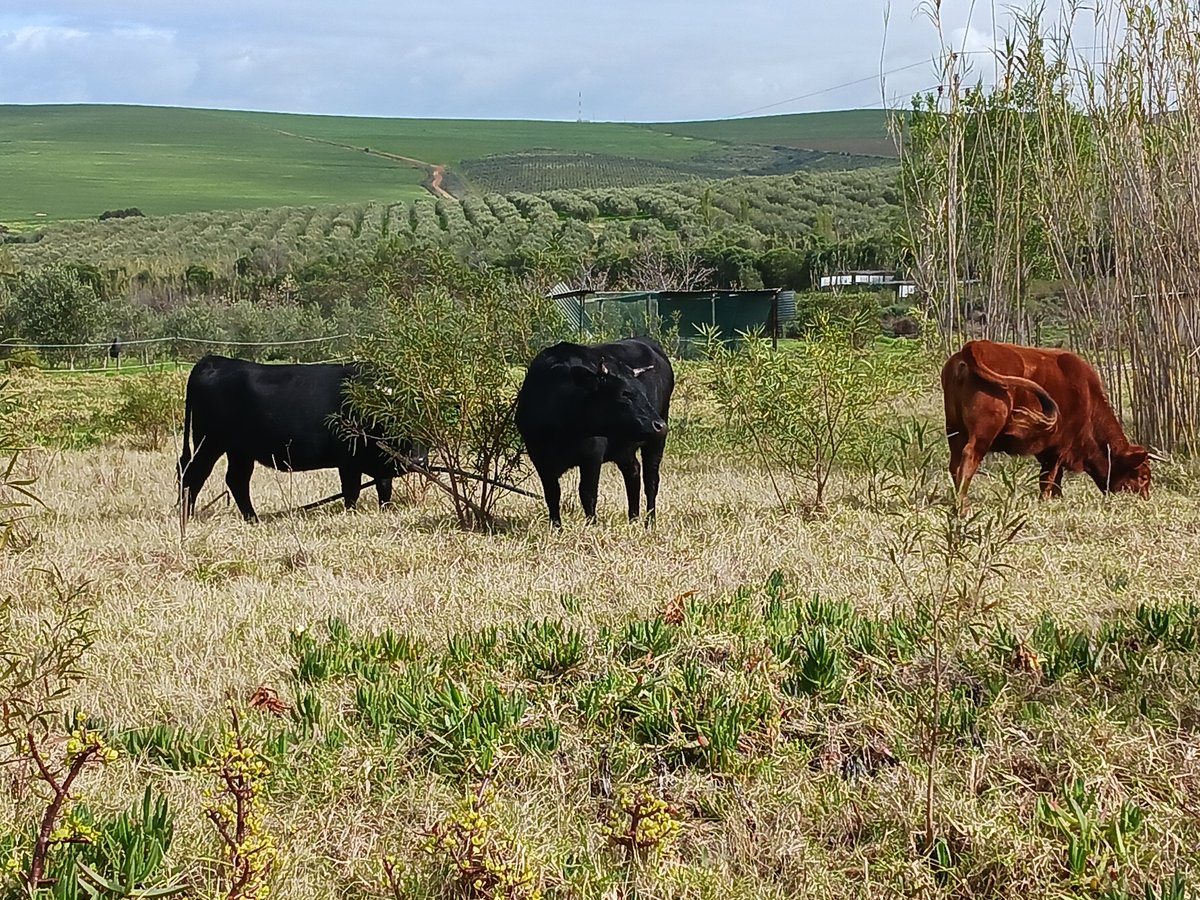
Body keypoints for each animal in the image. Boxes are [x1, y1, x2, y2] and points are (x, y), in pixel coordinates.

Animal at [178, 355, 423, 522]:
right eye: (396, 423)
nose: (418, 460)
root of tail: (214, 361)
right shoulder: (348, 460)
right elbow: (352, 490)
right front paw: (350, 513)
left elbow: (384, 488)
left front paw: (386, 510)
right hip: (208, 443)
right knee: (193, 475)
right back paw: (187, 517)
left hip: (239, 450)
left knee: (236, 480)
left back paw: (253, 519)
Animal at [515, 337, 674, 527]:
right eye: (624, 393)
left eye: (643, 392)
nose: (659, 425)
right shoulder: (539, 458)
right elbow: (552, 494)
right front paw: (556, 527)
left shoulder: (592, 456)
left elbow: (587, 493)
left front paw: (591, 525)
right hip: (624, 448)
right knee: (633, 472)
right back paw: (633, 519)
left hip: (656, 441)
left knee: (651, 480)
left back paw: (649, 522)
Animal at [941, 340, 1151, 505]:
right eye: (1143, 476)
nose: (1146, 499)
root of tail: (976, 346)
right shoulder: (1058, 447)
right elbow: (1049, 478)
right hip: (984, 431)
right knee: (969, 456)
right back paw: (962, 505)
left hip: (954, 428)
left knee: (955, 463)